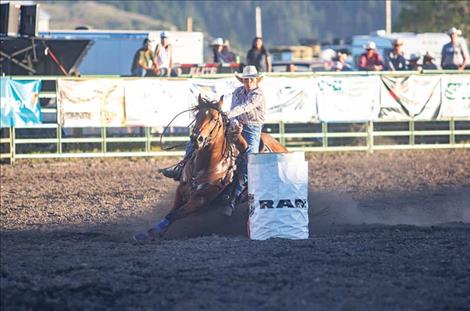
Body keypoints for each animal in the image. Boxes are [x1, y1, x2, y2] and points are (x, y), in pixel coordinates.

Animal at [132, 96, 286, 243]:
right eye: (197, 115)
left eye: (215, 119)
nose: (197, 139)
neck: (204, 165)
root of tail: (280, 146)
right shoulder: (181, 190)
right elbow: (171, 212)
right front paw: (149, 233)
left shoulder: (201, 199)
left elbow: (174, 214)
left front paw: (153, 232)